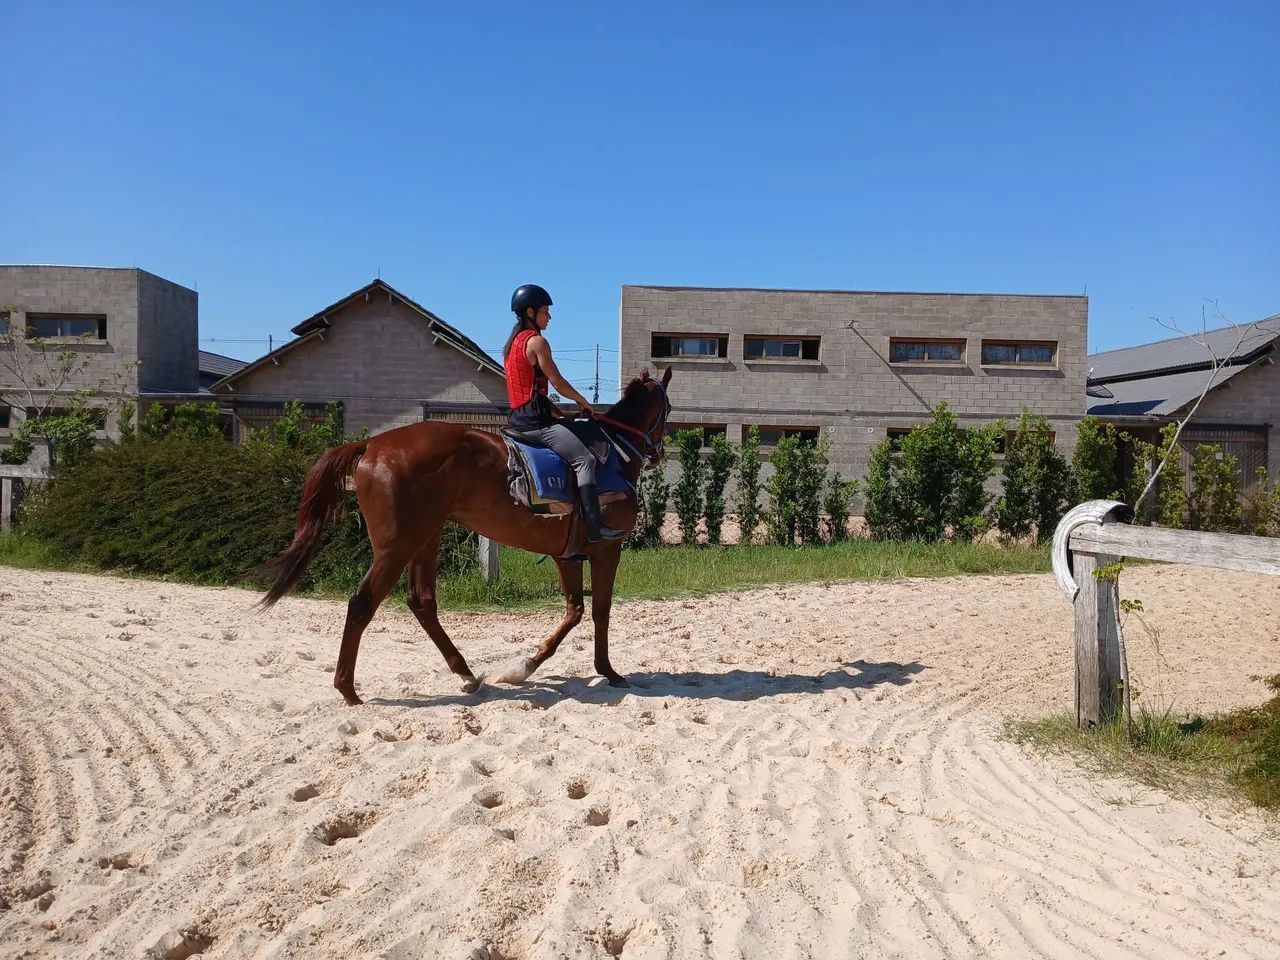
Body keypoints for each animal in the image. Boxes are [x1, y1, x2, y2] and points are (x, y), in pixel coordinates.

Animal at [255, 367, 673, 706]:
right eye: (667, 410)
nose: (657, 453)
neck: (614, 452)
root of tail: (371, 445)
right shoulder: (607, 549)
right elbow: (600, 610)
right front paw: (608, 670)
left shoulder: (566, 554)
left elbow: (575, 611)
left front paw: (526, 665)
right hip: (396, 548)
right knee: (362, 604)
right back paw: (348, 689)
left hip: (425, 538)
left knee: (422, 602)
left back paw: (466, 674)